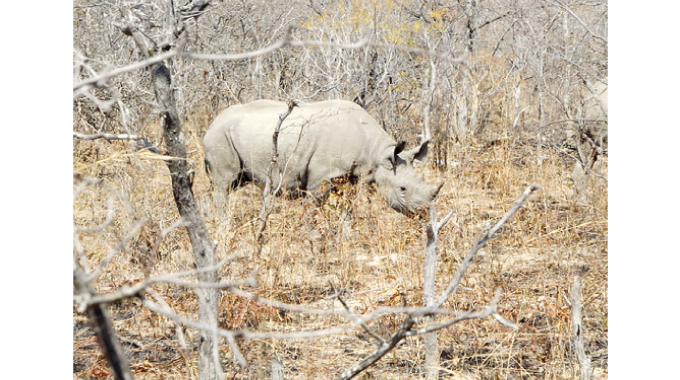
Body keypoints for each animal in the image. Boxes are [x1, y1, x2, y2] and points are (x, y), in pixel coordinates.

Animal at [202, 99, 446, 215]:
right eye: (403, 188)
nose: (424, 213)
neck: (379, 153)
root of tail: (212, 123)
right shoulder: (321, 178)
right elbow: (312, 210)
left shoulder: (351, 177)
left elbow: (347, 210)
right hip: (219, 137)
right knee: (224, 183)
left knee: (229, 183)